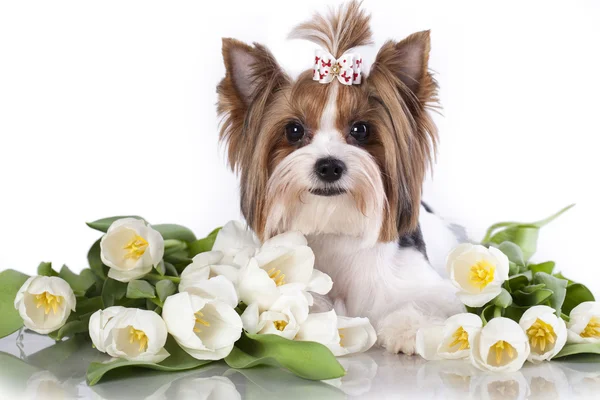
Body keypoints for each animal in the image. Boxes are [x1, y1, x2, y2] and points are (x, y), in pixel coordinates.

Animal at [216, 2, 464, 354]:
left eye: (361, 129)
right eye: (293, 130)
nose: (329, 166)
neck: (336, 226)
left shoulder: (428, 285)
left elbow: (426, 302)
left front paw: (409, 327)